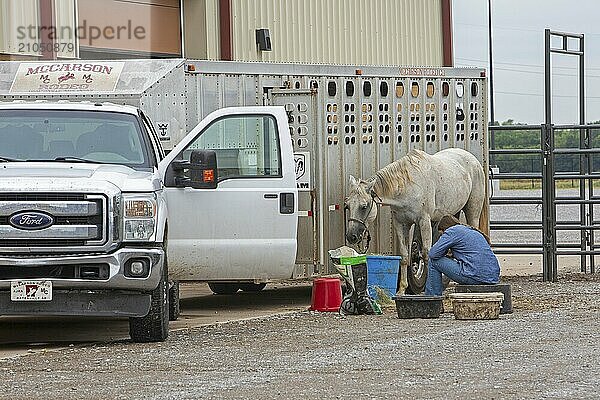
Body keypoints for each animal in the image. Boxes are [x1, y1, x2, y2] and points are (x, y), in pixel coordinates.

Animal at [344, 148, 486, 296]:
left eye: (364, 206)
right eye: (347, 205)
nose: (351, 236)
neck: (407, 186)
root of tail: (473, 159)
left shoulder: (424, 221)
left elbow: (427, 253)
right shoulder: (401, 224)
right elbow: (405, 255)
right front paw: (401, 289)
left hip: (472, 212)